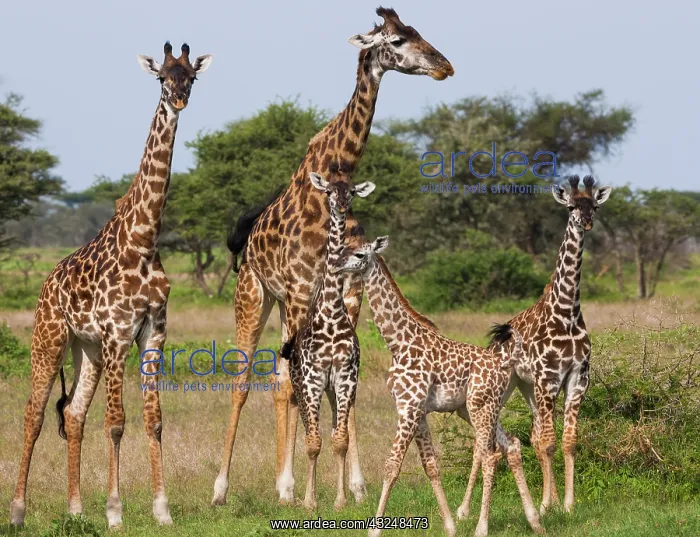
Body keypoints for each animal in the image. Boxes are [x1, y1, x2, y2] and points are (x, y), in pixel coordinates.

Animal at [9, 42, 212, 529]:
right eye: (161, 77)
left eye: (192, 77)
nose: (179, 100)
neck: (144, 239)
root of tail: (46, 284)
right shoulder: (119, 332)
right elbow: (117, 421)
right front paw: (116, 512)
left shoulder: (153, 332)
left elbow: (153, 420)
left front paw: (162, 510)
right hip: (49, 338)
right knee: (34, 415)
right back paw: (19, 511)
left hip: (87, 349)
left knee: (74, 414)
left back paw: (76, 510)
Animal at [279, 172, 375, 511]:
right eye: (330, 191)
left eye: (352, 192)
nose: (341, 205)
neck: (333, 311)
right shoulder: (313, 379)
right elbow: (313, 442)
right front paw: (310, 501)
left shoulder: (344, 377)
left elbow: (340, 440)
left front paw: (341, 499)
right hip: (303, 386)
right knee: (305, 426)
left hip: (333, 390)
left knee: (336, 429)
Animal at [336, 238, 544, 537]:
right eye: (343, 248)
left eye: (360, 254)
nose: (336, 264)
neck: (398, 343)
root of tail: (504, 362)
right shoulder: (418, 411)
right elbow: (431, 466)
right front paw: (449, 525)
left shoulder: (408, 408)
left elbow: (392, 466)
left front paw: (374, 530)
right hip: (474, 409)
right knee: (512, 445)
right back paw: (535, 520)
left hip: (481, 406)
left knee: (490, 454)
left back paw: (482, 528)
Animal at [487, 175, 612, 515]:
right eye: (570, 206)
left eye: (594, 206)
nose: (587, 221)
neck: (566, 313)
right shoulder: (548, 378)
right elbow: (548, 442)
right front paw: (545, 505)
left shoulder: (577, 378)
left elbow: (566, 441)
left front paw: (566, 504)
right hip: (509, 385)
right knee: (502, 437)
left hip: (528, 387)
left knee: (534, 434)